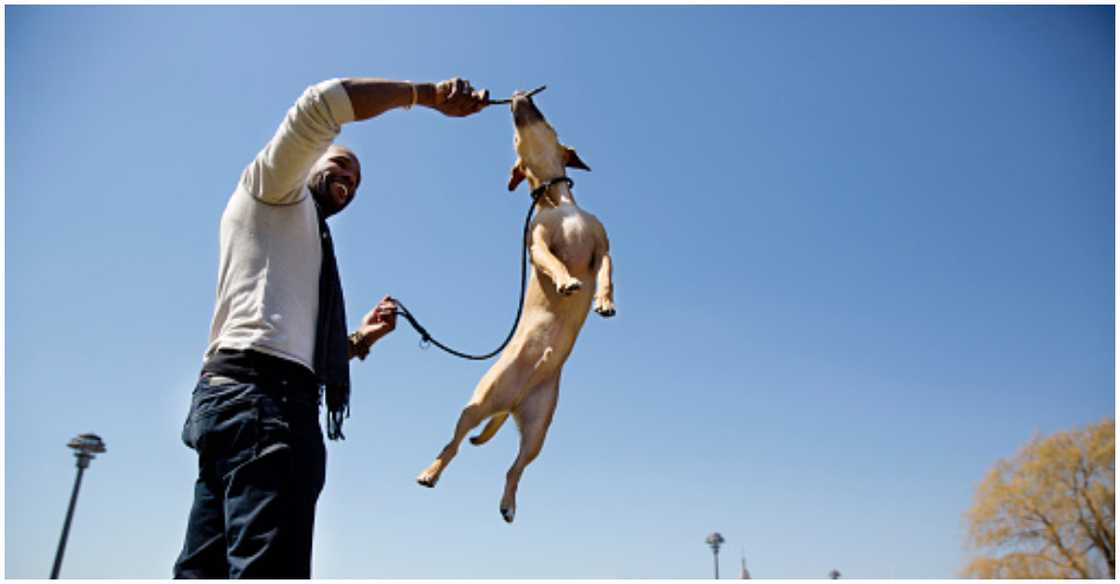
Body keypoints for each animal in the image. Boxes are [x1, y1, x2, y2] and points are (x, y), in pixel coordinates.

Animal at [416, 92, 618, 524]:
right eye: (512, 139)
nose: (518, 97)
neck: (557, 200)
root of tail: (511, 404)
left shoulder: (603, 248)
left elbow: (608, 272)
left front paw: (604, 301)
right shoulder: (538, 246)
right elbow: (554, 262)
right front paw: (566, 282)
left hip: (539, 429)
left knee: (514, 469)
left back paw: (508, 503)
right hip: (478, 402)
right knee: (452, 444)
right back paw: (431, 472)